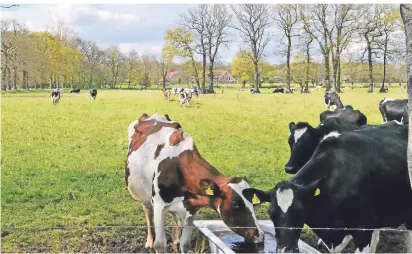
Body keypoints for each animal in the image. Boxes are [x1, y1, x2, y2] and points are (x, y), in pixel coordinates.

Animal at [124, 114, 264, 253]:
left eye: (253, 203)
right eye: (235, 204)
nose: (260, 235)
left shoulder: (193, 209)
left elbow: (185, 244)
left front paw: (179, 243)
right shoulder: (159, 205)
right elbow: (159, 244)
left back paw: (175, 240)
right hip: (143, 194)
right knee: (148, 211)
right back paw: (149, 240)